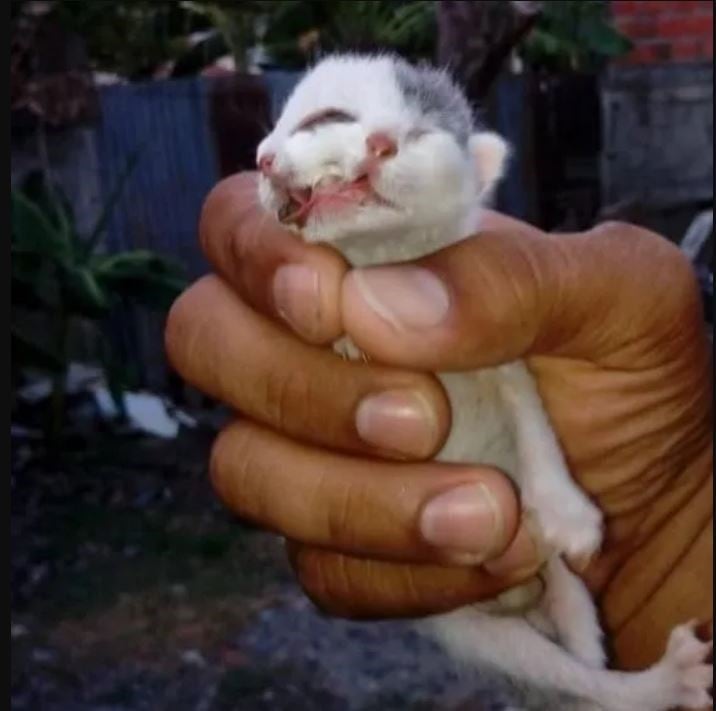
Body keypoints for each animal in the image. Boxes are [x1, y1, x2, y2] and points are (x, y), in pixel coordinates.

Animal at [255, 52, 712, 708]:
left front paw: (569, 513)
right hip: (468, 631)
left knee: (583, 655)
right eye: (330, 118)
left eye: (422, 132)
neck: (387, 257)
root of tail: (521, 599)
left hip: (563, 591)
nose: (381, 141)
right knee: (563, 675)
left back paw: (658, 675)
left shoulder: (498, 349)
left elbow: (529, 408)